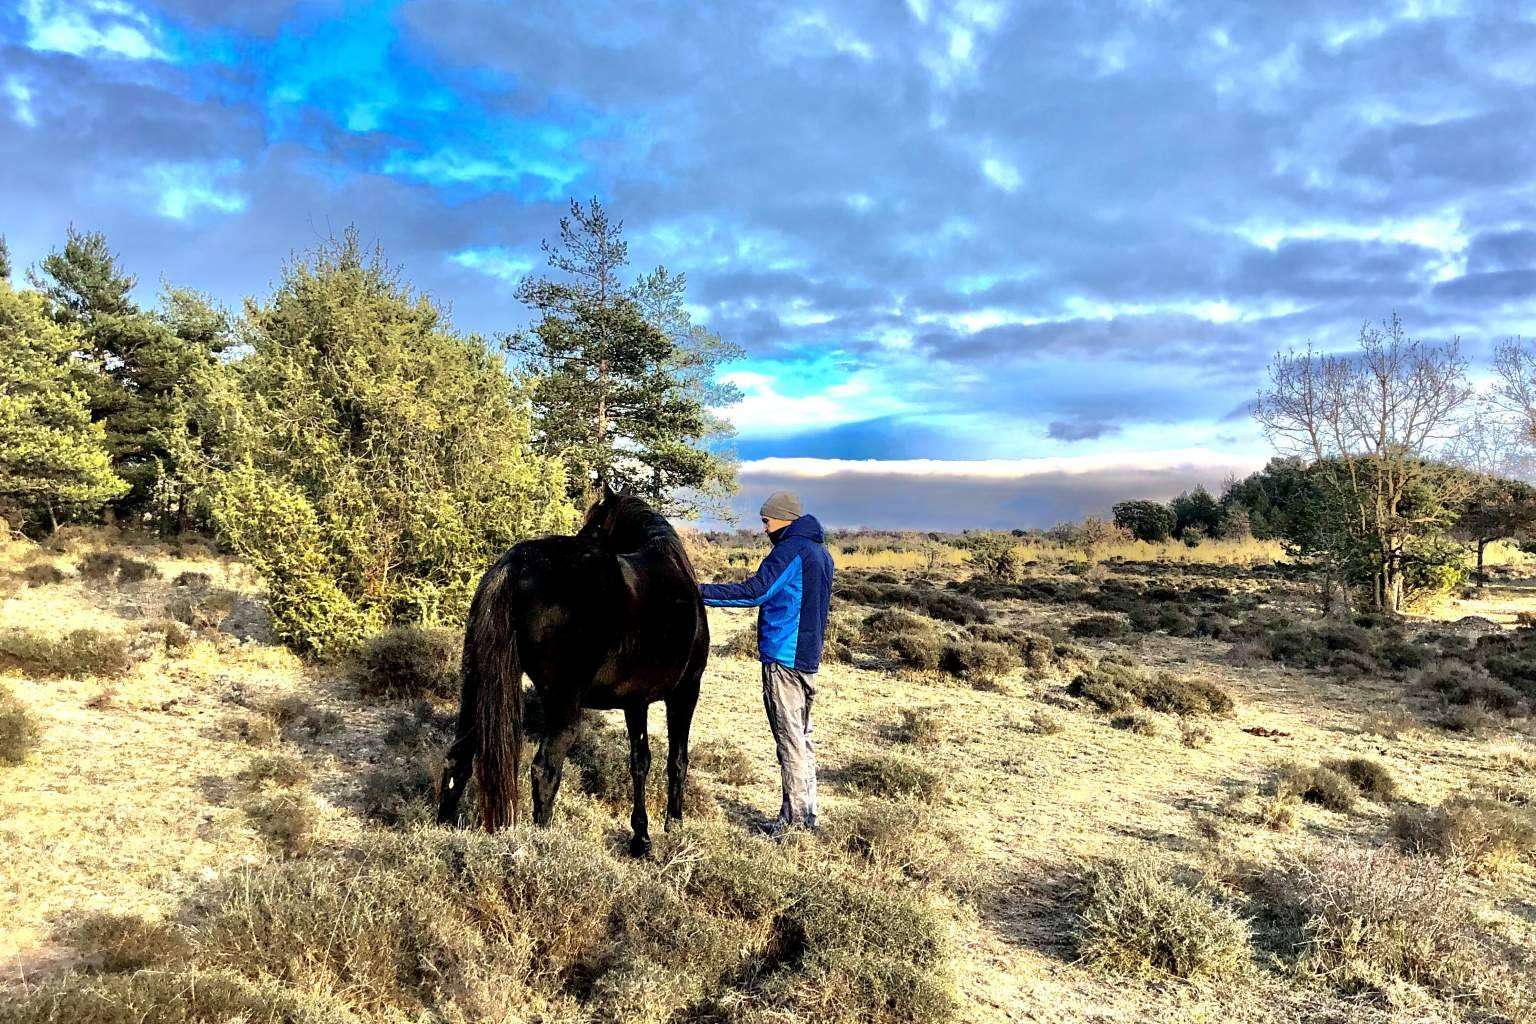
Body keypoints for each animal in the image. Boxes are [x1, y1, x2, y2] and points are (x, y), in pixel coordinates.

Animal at [436, 484, 710, 856]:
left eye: (595, 525)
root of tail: (513, 566)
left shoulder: (635, 702)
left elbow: (640, 761)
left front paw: (641, 838)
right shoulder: (685, 692)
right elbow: (677, 760)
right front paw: (673, 827)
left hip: (477, 690)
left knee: (457, 758)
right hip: (564, 703)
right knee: (544, 770)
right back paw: (544, 843)